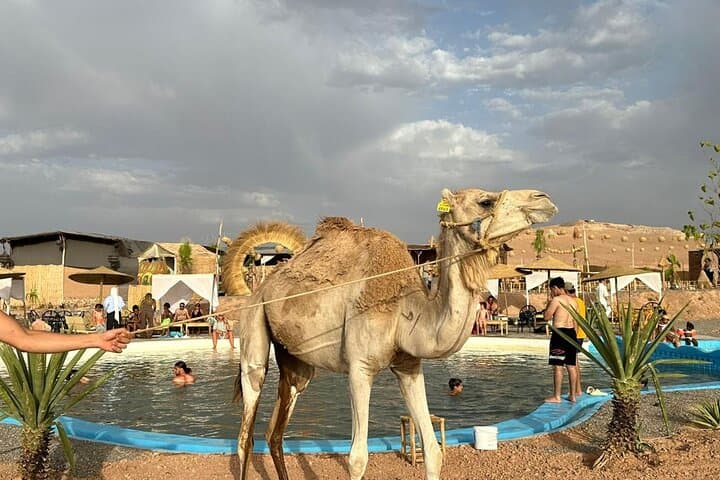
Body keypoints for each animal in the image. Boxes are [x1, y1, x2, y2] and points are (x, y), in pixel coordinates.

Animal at [233, 187, 557, 480]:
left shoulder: (409, 366)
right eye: (485, 201)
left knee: (275, 430)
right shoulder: (360, 368)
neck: (404, 309)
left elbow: (433, 451)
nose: (543, 199)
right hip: (253, 327)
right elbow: (357, 459)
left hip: (296, 363)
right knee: (246, 430)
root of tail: (261, 288)